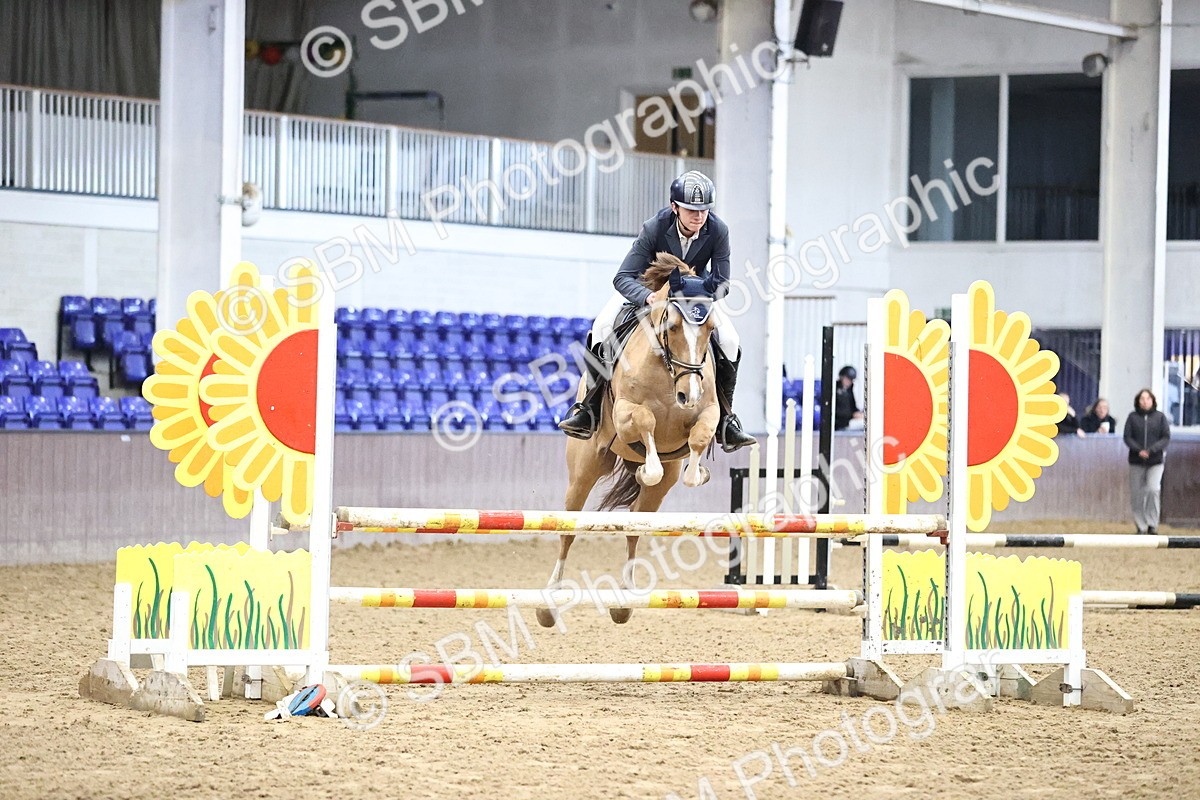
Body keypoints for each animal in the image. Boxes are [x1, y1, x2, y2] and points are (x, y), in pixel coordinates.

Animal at [536, 253, 721, 628]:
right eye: (672, 327)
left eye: (710, 329)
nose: (689, 394)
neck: (668, 372)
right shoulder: (624, 414)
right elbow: (645, 421)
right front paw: (647, 469)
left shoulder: (708, 413)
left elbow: (699, 438)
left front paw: (698, 473)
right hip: (585, 468)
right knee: (569, 527)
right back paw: (549, 601)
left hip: (657, 491)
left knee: (636, 524)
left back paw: (622, 600)